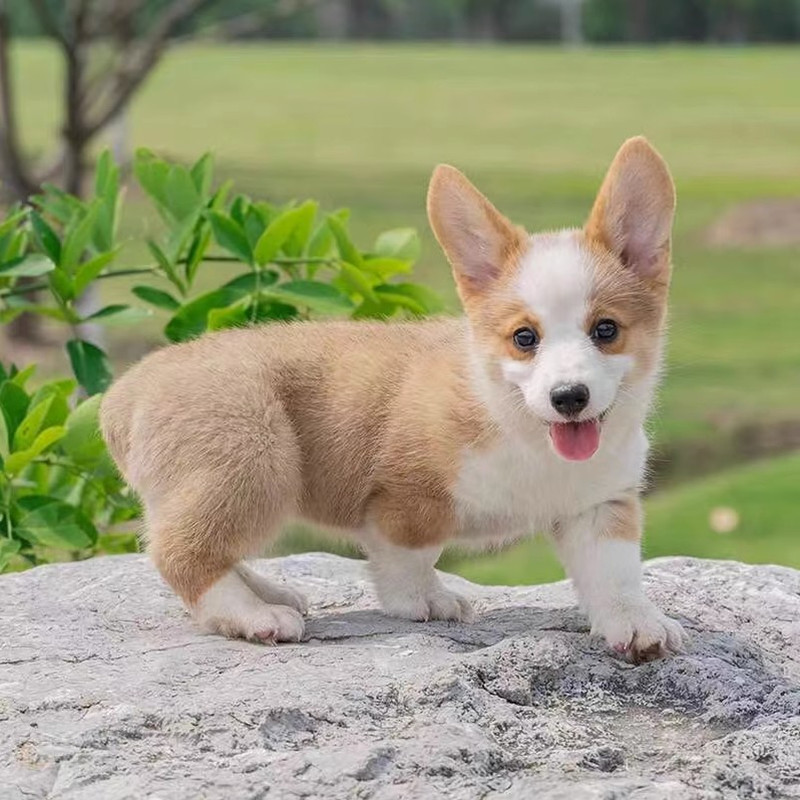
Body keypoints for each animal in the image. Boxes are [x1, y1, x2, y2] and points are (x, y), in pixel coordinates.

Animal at [100, 138, 684, 664]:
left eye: (606, 330)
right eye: (524, 338)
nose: (568, 398)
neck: (522, 428)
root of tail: (126, 391)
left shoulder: (600, 506)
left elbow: (615, 573)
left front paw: (637, 624)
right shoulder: (407, 498)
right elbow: (411, 556)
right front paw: (423, 601)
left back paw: (268, 592)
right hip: (256, 461)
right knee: (179, 551)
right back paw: (255, 615)